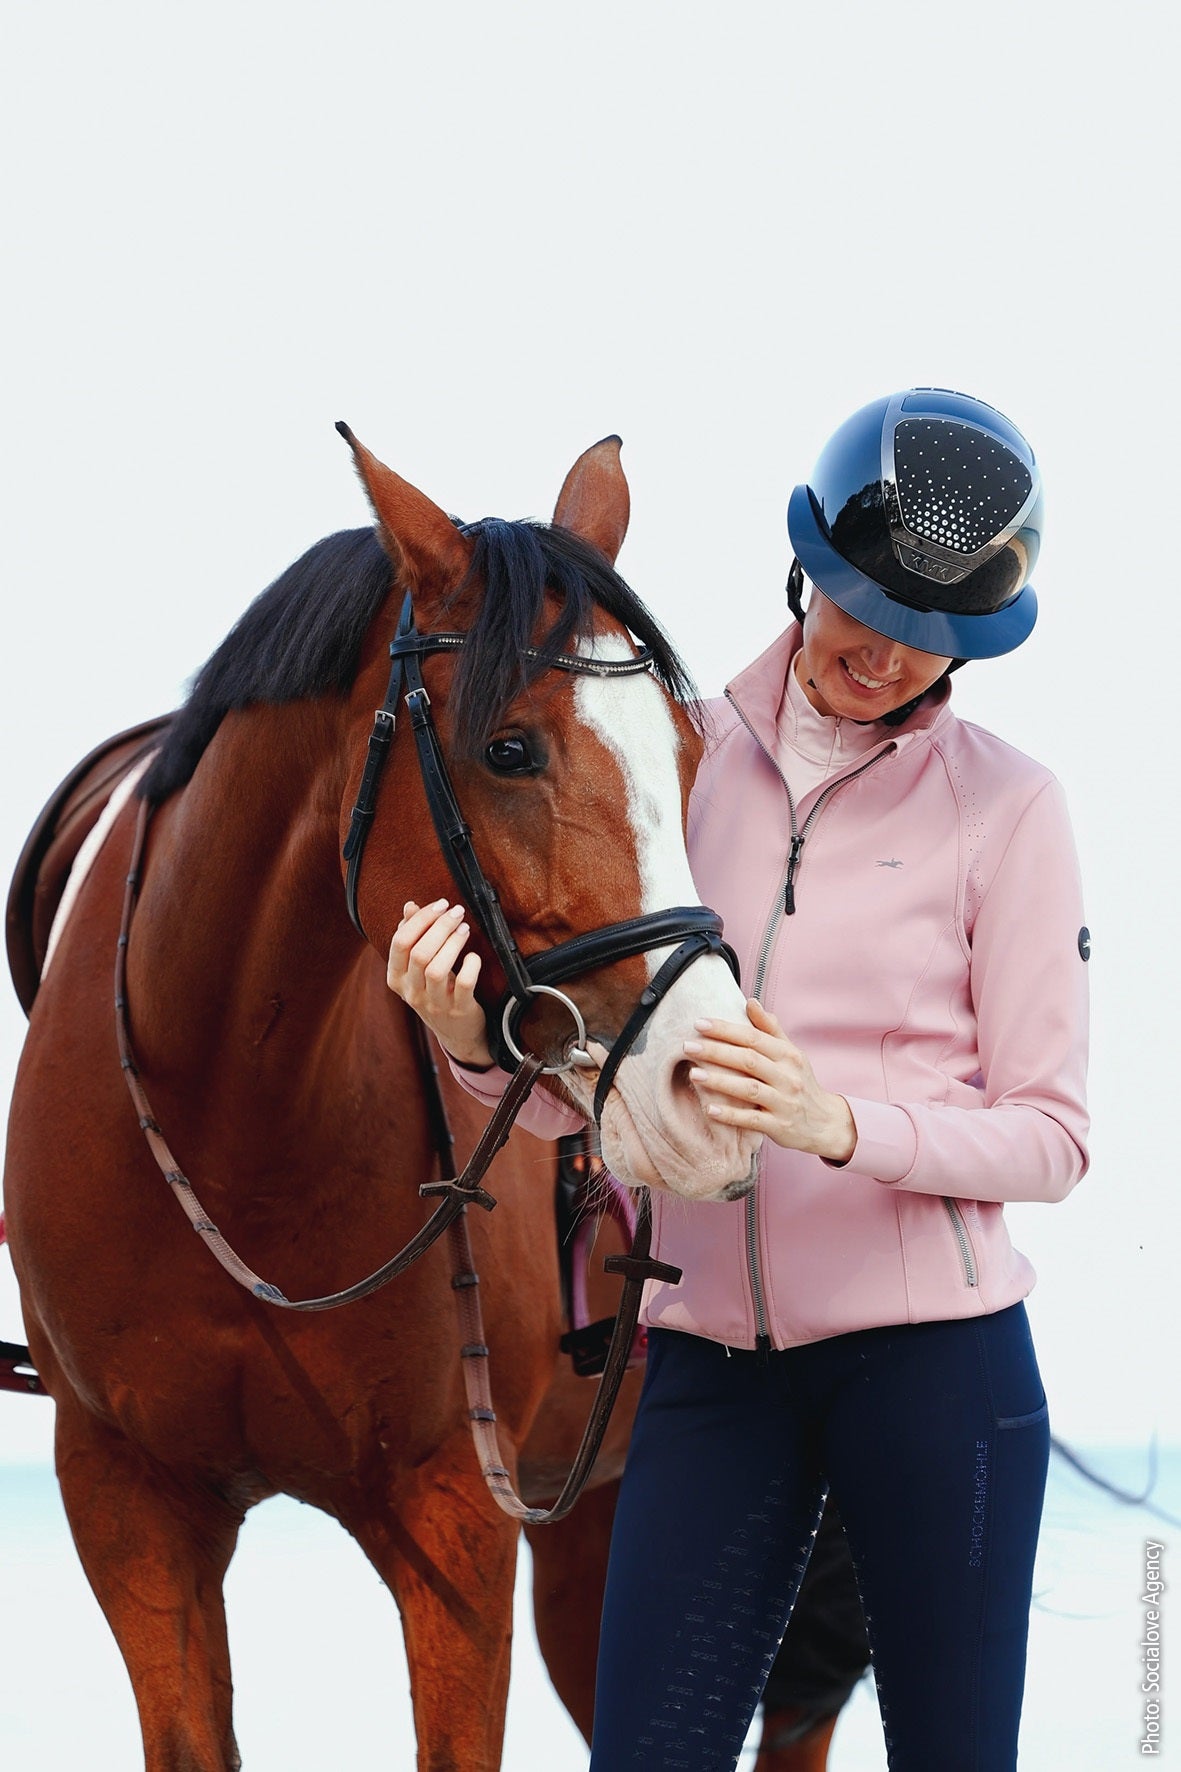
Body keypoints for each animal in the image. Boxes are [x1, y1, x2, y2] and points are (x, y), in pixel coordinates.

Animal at [2, 430, 761, 1771]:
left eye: (684, 751)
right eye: (508, 747)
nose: (703, 1085)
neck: (234, 1117)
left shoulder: (453, 1514)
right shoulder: (129, 1499)